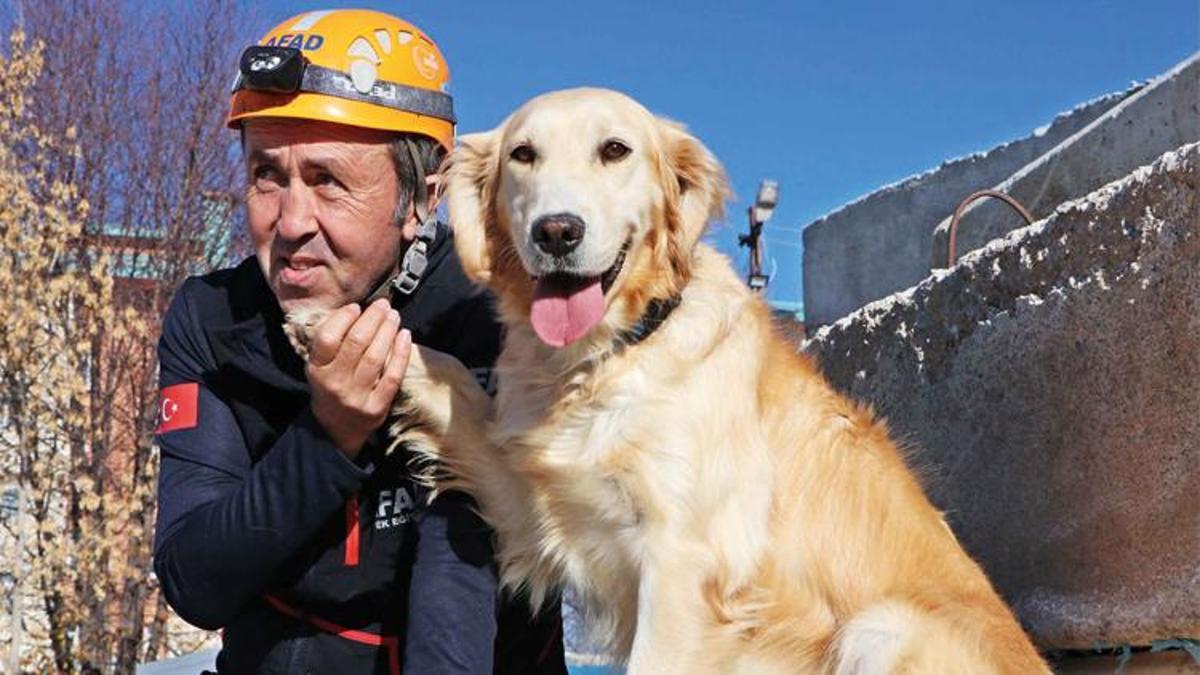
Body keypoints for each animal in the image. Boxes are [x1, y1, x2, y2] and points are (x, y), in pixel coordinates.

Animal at [285, 89, 1046, 672]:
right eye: (523, 155)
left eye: (615, 150)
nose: (556, 231)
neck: (610, 356)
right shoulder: (535, 499)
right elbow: (445, 374)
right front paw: (326, 320)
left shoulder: (685, 564)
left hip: (881, 629)